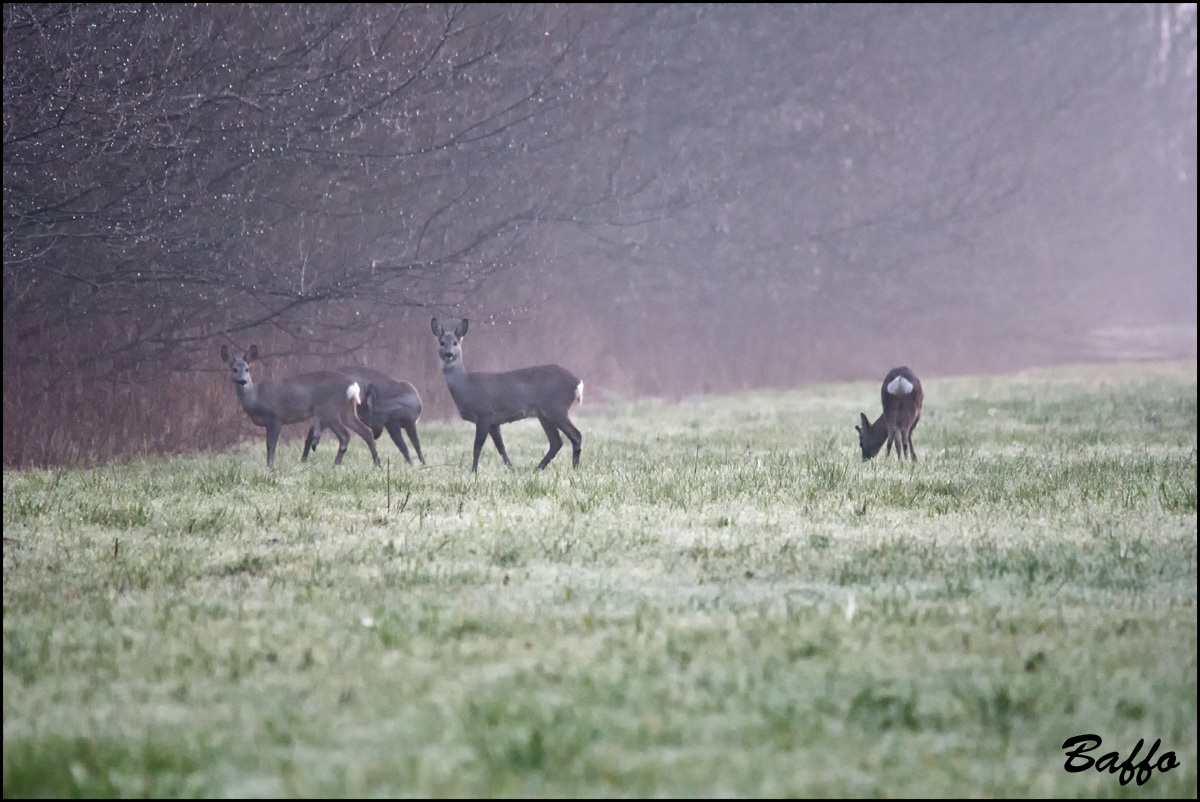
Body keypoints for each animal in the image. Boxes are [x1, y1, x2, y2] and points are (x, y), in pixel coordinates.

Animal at [220, 345, 379, 470]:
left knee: (345, 435)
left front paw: (270, 468)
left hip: (329, 409)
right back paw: (377, 464)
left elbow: (271, 445)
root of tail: (352, 385)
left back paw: (336, 465)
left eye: (247, 369)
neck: (256, 398)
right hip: (347, 409)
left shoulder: (276, 416)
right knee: (367, 431)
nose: (242, 381)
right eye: (234, 369)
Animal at [432, 316, 585, 473]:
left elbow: (477, 447)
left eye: (455, 342)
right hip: (543, 413)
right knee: (556, 441)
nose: (449, 354)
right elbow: (501, 447)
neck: (466, 387)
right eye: (442, 342)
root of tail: (577, 383)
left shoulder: (484, 413)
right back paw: (537, 468)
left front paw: (474, 471)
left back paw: (574, 469)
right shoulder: (494, 422)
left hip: (556, 407)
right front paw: (512, 468)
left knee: (576, 435)